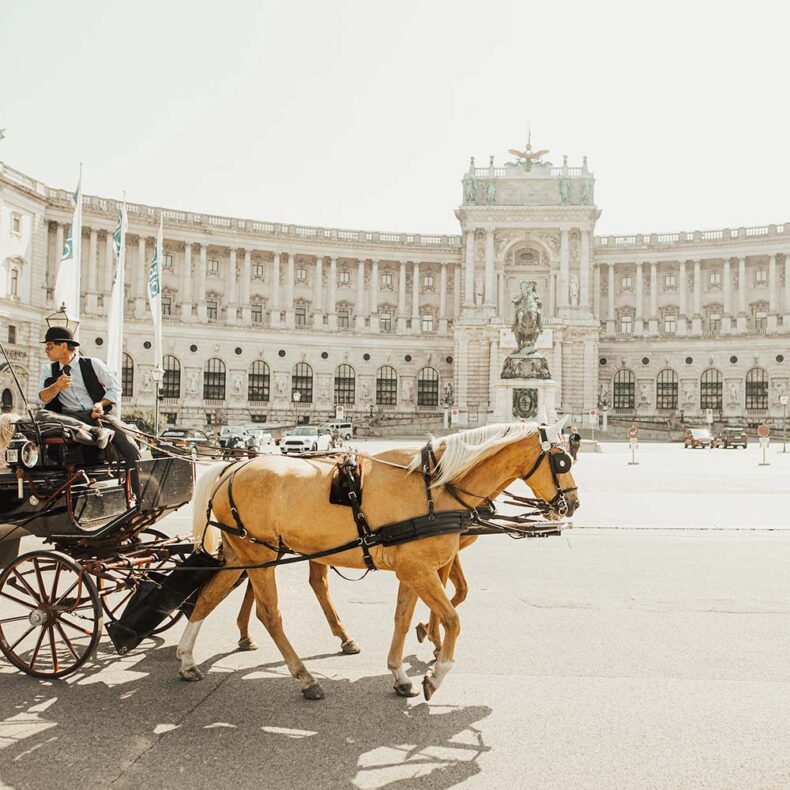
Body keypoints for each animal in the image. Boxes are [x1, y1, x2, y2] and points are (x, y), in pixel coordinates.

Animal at [176, 424, 580, 704]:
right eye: (562, 461)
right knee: (270, 614)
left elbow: (403, 618)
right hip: (259, 555)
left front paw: (401, 673)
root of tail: (231, 467)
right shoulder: (421, 569)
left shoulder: (413, 570)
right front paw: (436, 673)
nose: (573, 504)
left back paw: (187, 660)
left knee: (209, 596)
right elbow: (453, 617)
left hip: (245, 553)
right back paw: (305, 677)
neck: (436, 488)